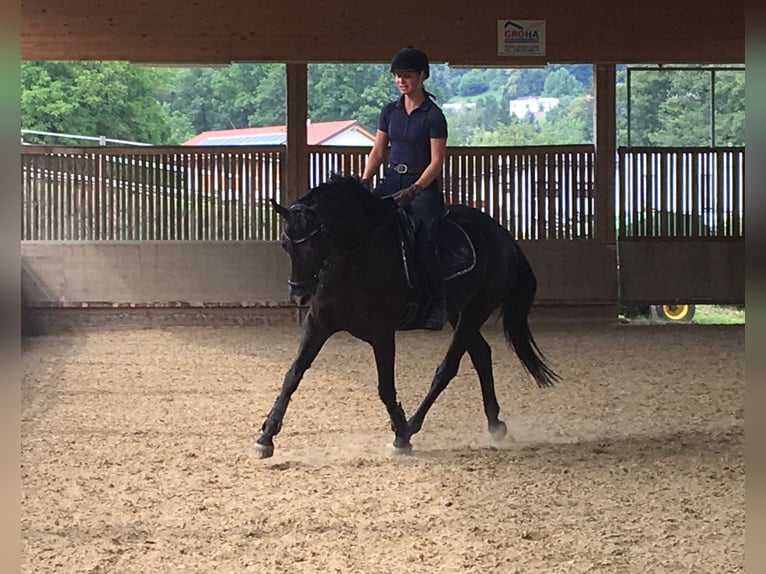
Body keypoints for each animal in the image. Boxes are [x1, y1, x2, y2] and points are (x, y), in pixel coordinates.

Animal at [255, 176, 560, 460]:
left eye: (317, 241)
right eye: (285, 244)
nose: (299, 295)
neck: (352, 262)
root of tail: (503, 235)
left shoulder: (382, 333)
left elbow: (386, 388)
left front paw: (400, 436)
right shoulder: (318, 324)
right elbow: (292, 374)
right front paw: (266, 437)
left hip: (476, 310)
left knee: (448, 368)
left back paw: (412, 425)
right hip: (459, 313)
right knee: (481, 355)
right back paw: (495, 424)